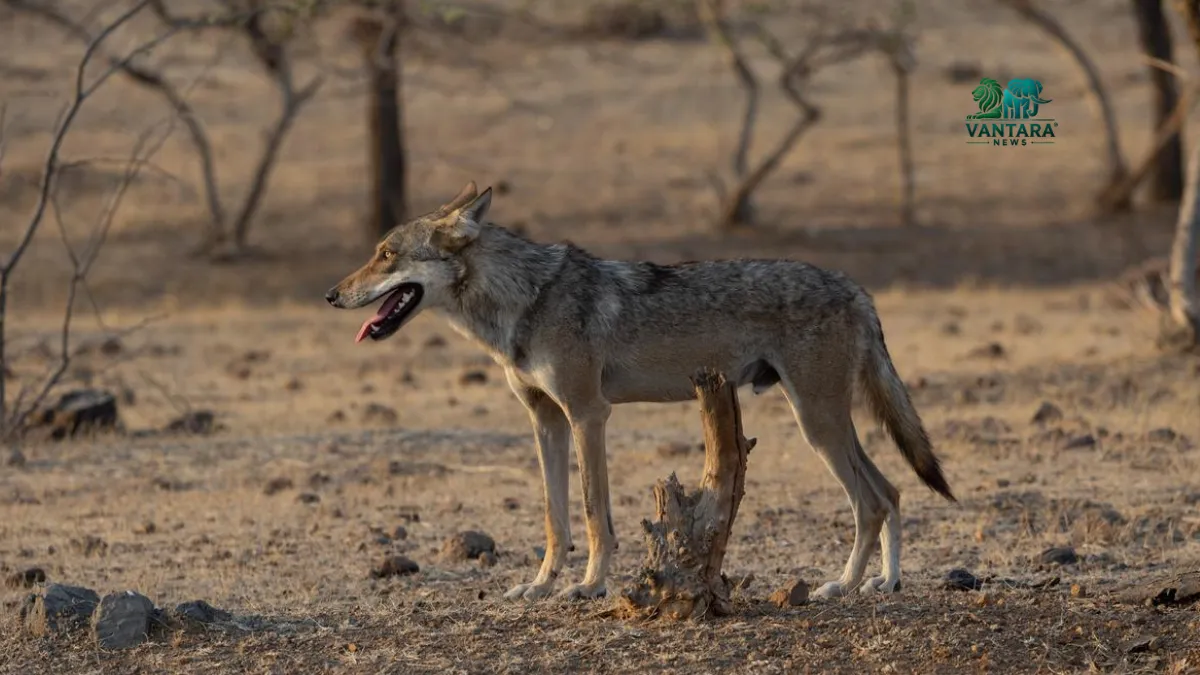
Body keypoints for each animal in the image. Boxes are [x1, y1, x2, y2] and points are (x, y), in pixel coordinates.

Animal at [325, 181, 956, 602]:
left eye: (387, 254)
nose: (332, 295)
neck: (526, 300)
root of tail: (856, 288)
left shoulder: (588, 414)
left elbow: (593, 515)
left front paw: (588, 587)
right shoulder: (545, 422)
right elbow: (554, 519)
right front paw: (539, 586)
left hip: (815, 424)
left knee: (871, 501)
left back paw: (842, 586)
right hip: (825, 425)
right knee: (892, 492)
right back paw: (886, 582)